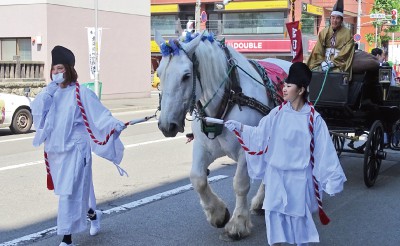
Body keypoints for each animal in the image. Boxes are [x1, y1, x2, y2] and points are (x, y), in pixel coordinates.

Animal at [155, 31, 290, 240]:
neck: (229, 96)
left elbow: (240, 183)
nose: (166, 125)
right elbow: (198, 178)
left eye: (186, 76)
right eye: (159, 73)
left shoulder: (247, 151)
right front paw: (217, 213)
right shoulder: (204, 147)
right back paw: (261, 201)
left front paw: (238, 222)